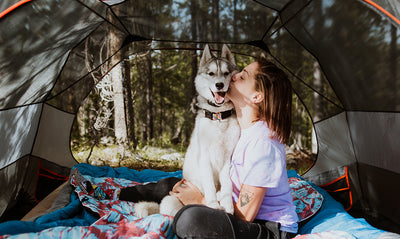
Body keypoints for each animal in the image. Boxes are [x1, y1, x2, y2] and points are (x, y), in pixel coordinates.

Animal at [134, 44, 241, 218]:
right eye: (211, 73)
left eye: (226, 73)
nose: (219, 85)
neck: (218, 118)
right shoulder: (205, 158)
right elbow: (210, 185)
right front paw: (213, 204)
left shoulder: (227, 158)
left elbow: (227, 185)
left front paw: (227, 204)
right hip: (170, 202)